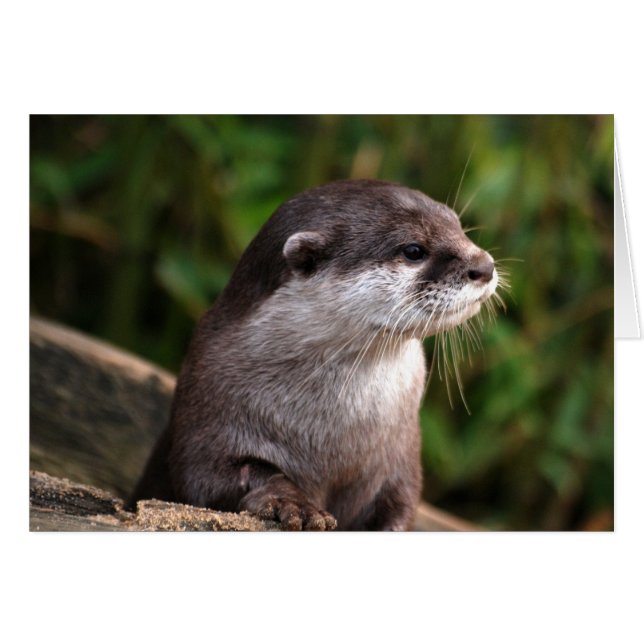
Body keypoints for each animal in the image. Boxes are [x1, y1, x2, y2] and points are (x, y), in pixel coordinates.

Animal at [130, 179, 498, 530]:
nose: (485, 265)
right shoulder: (206, 412)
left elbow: (401, 504)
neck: (333, 436)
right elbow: (212, 477)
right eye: (413, 250)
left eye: (458, 226)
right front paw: (292, 503)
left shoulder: (400, 459)